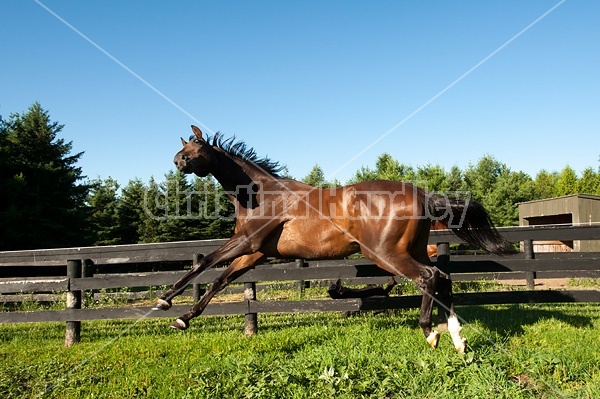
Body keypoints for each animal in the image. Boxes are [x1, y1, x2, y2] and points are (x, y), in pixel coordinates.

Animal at [154, 125, 510, 354]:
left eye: (197, 148)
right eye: (184, 148)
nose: (177, 161)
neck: (260, 194)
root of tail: (422, 194)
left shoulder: (246, 243)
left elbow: (205, 263)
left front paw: (164, 301)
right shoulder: (254, 253)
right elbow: (220, 280)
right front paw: (183, 319)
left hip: (385, 253)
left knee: (429, 276)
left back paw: (430, 332)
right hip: (413, 249)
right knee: (444, 277)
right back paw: (458, 339)